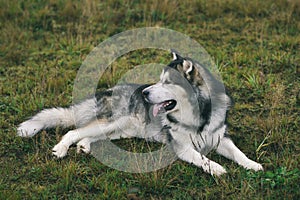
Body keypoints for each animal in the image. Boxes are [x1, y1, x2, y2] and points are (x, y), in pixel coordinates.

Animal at [18, 50, 262, 175]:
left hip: (123, 130)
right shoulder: (182, 147)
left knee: (90, 136)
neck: (197, 115)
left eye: (166, 82)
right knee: (73, 132)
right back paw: (61, 149)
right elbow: (201, 157)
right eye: (159, 79)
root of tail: (108, 90)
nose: (144, 93)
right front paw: (217, 168)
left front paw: (252, 165)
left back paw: (84, 146)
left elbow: (238, 153)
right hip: (113, 121)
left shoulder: (221, 138)